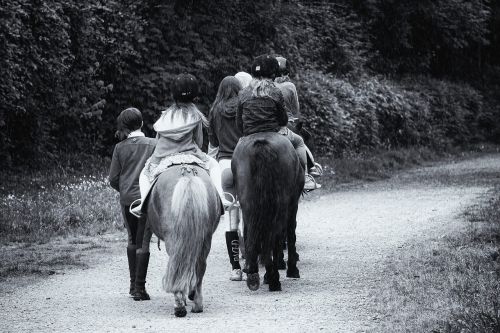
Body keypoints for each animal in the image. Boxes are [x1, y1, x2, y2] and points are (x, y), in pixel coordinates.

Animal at [232, 132, 302, 290]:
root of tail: (261, 145)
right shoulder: (292, 205)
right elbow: (290, 233)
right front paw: (292, 269)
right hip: (281, 205)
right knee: (276, 235)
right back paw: (273, 279)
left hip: (248, 205)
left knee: (251, 233)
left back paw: (253, 274)